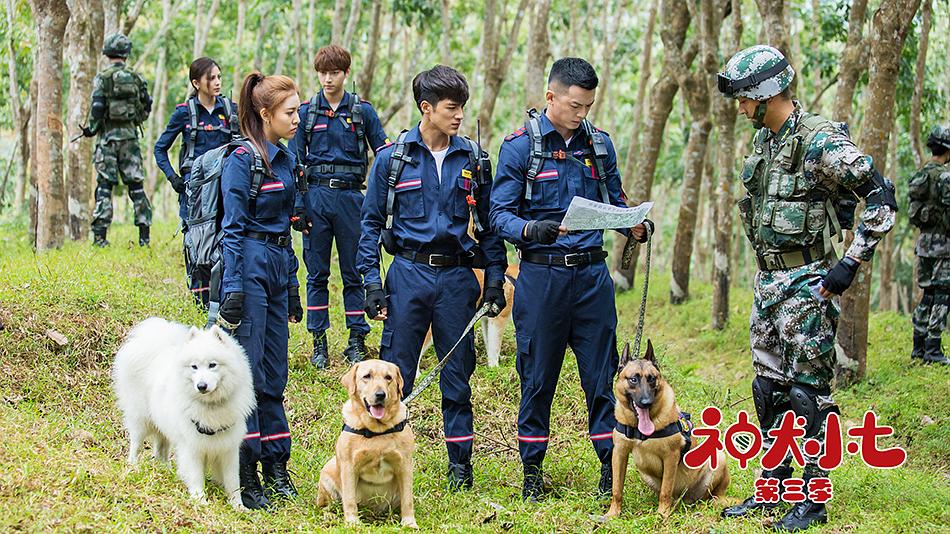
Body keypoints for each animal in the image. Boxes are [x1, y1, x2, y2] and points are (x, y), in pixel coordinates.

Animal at [113, 318, 255, 510]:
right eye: (194, 367)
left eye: (212, 365)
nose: (201, 386)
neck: (211, 407)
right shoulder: (192, 446)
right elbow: (196, 476)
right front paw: (200, 501)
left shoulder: (228, 448)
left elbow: (233, 481)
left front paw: (238, 506)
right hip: (140, 419)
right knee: (136, 443)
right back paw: (133, 464)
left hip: (164, 425)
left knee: (161, 447)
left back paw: (164, 468)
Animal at [316, 362, 416, 528]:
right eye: (367, 376)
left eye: (388, 377)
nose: (380, 395)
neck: (377, 431)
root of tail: (372, 512)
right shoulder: (349, 466)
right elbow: (349, 500)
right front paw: (353, 523)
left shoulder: (405, 466)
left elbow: (408, 500)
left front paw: (409, 523)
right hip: (328, 472)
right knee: (327, 506)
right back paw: (329, 516)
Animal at [608, 342, 732, 520]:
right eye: (633, 379)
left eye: (652, 379)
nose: (646, 402)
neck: (640, 429)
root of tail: (684, 499)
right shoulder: (619, 453)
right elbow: (617, 489)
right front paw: (613, 513)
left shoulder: (670, 457)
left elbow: (665, 491)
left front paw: (663, 514)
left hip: (719, 459)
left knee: (711, 496)